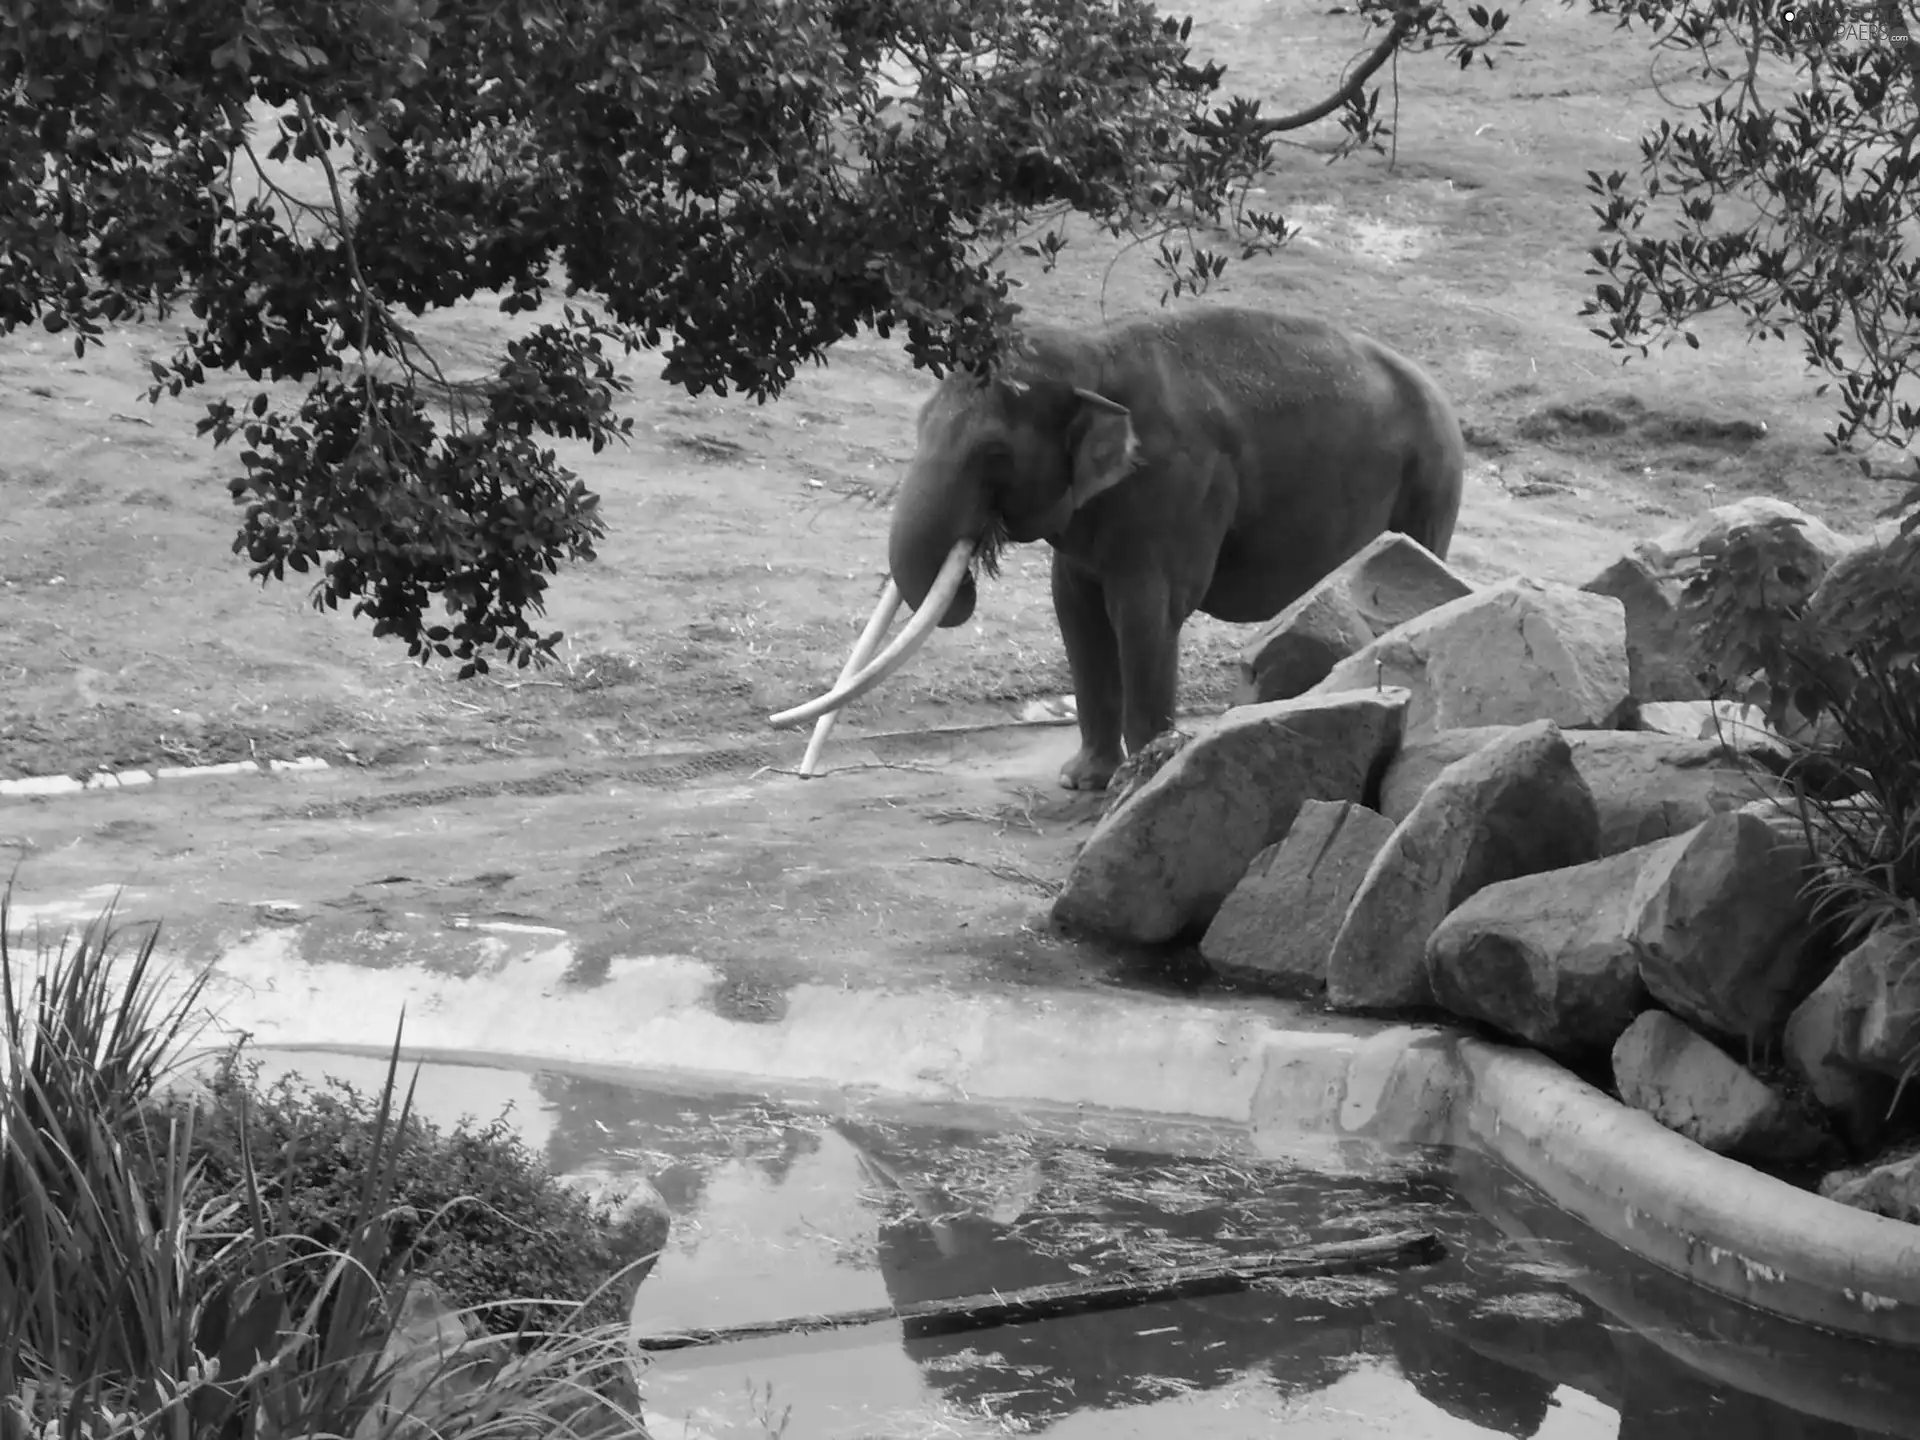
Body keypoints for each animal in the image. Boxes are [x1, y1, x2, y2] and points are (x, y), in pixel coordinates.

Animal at [771, 305, 1459, 794]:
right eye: (917, 427)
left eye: (994, 454)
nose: (804, 772)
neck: (1091, 353)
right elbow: (1074, 608)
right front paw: (1082, 781)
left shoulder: (1178, 485)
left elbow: (1145, 614)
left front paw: (1142, 776)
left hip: (1432, 484)